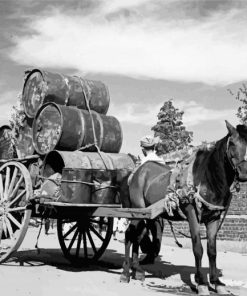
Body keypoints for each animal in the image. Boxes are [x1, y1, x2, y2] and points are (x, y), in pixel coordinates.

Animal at [120, 121, 247, 296]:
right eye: (233, 143)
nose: (243, 173)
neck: (207, 179)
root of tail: (135, 173)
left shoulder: (213, 218)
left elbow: (212, 250)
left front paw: (217, 282)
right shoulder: (192, 213)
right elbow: (198, 248)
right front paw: (201, 283)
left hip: (147, 215)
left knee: (137, 237)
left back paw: (137, 270)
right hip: (136, 211)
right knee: (129, 235)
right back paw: (125, 273)